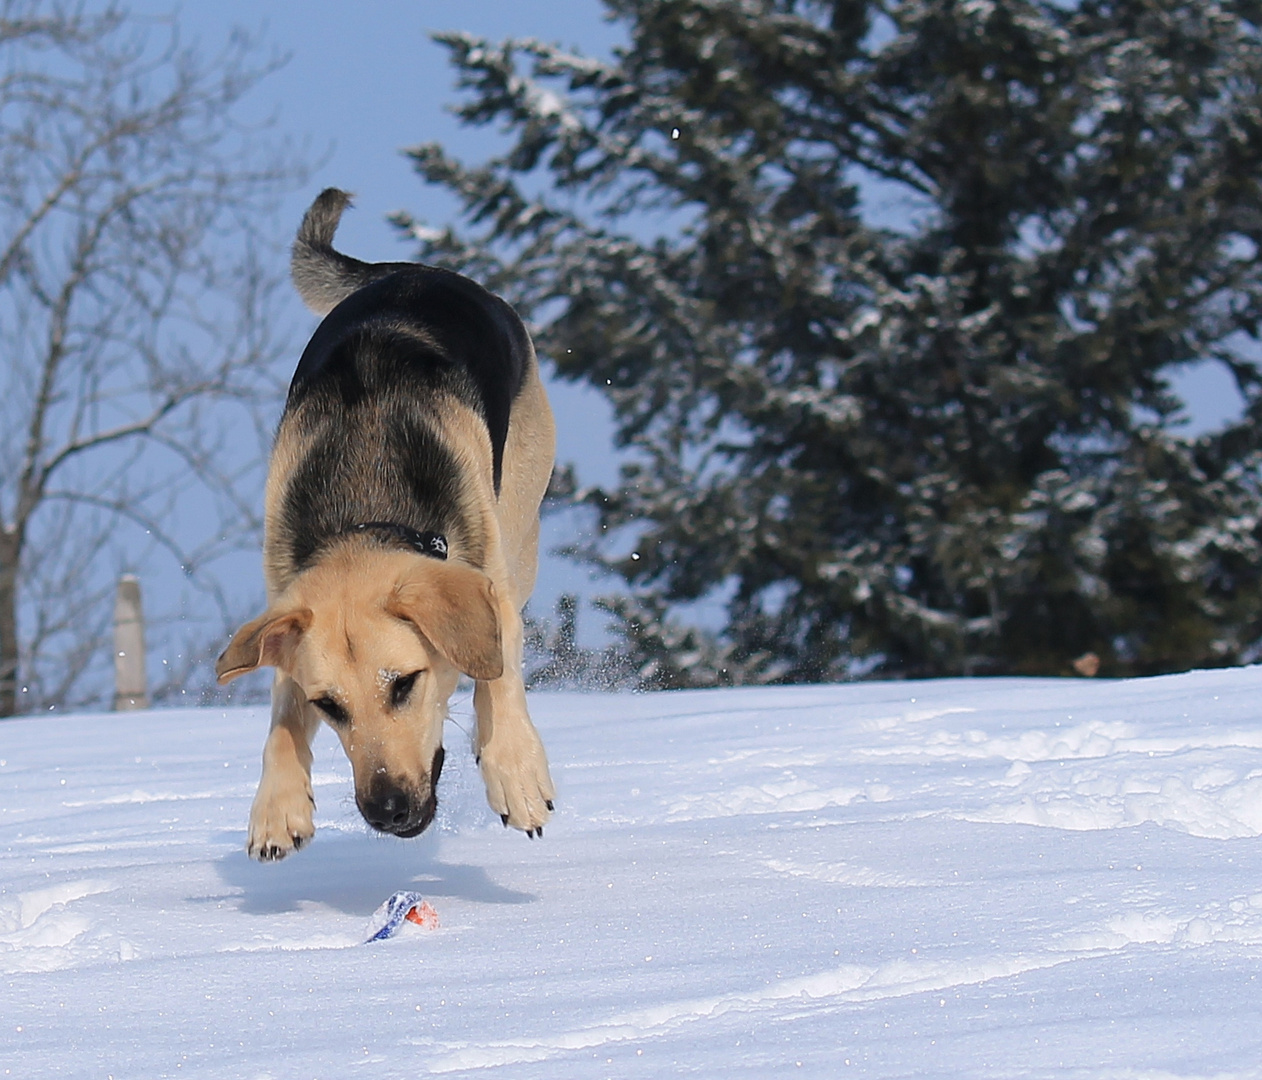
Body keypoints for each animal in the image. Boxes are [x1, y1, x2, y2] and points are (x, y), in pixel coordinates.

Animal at [214, 187, 555, 862]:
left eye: (404, 684)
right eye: (329, 705)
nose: (388, 810)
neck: (363, 516)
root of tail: (415, 271)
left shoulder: (488, 573)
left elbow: (499, 671)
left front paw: (516, 769)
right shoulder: (286, 603)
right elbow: (281, 715)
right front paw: (277, 807)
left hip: (522, 518)